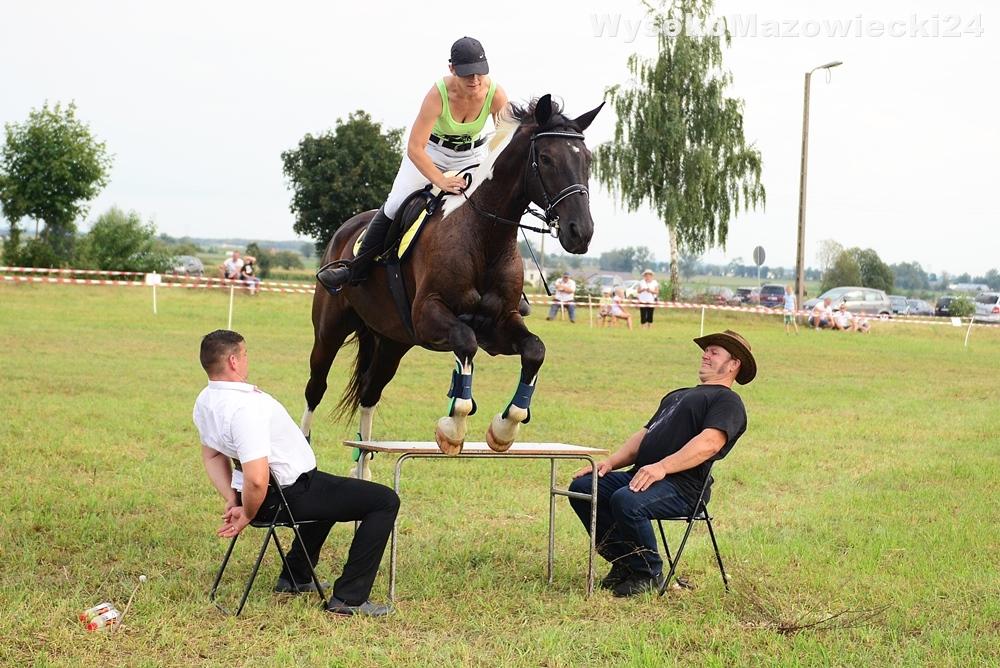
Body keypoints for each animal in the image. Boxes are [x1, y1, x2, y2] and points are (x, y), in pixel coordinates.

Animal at [300, 94, 600, 460]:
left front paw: (504, 428)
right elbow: (465, 341)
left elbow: (534, 350)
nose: (580, 232)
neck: (486, 235)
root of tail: (346, 229)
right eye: (545, 158)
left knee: (370, 392)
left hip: (392, 341)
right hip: (330, 328)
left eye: (587, 159)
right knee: (316, 387)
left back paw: (366, 461)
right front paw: (453, 428)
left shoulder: (499, 326)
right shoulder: (430, 315)